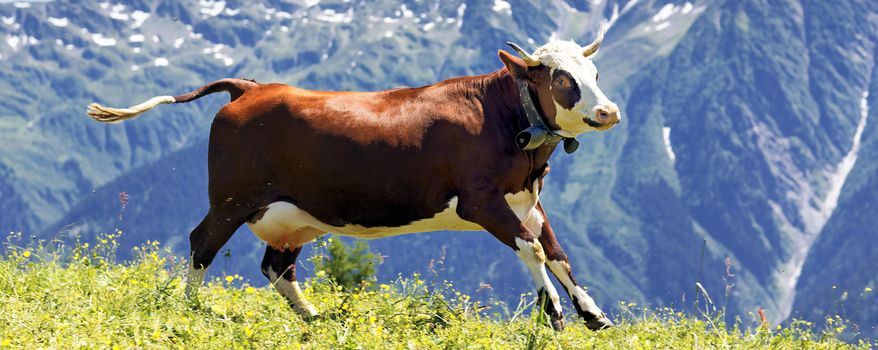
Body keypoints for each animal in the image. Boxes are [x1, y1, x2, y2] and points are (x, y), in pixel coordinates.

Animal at [87, 30, 620, 330]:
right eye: (561, 79)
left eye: (594, 72)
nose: (609, 111)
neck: (503, 117)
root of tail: (252, 87)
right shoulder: (481, 200)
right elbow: (532, 249)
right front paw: (554, 313)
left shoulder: (527, 198)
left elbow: (557, 253)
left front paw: (593, 314)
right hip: (232, 198)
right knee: (203, 243)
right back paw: (191, 309)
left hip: (289, 215)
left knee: (276, 266)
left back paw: (314, 319)